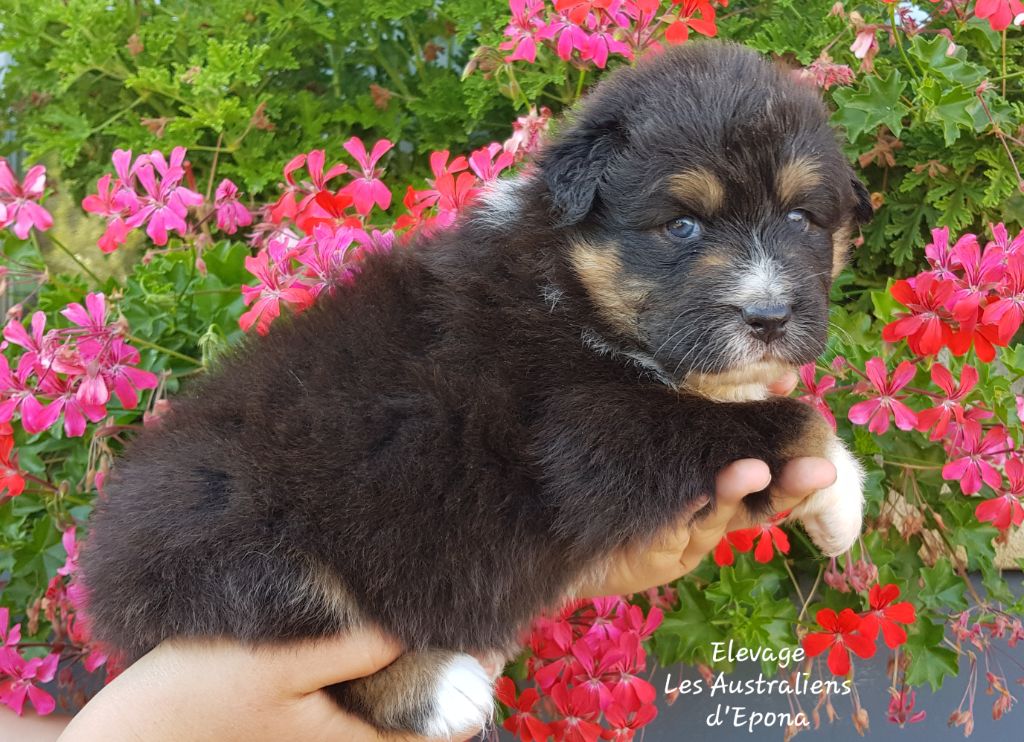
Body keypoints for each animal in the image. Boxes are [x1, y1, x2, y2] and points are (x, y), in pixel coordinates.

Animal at [79, 41, 872, 737]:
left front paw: (832, 509)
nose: (768, 317)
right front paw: (843, 500)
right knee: (317, 627)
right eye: (682, 225)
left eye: (801, 217)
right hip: (248, 546)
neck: (570, 279)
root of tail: (101, 557)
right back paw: (443, 691)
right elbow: (792, 418)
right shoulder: (594, 437)